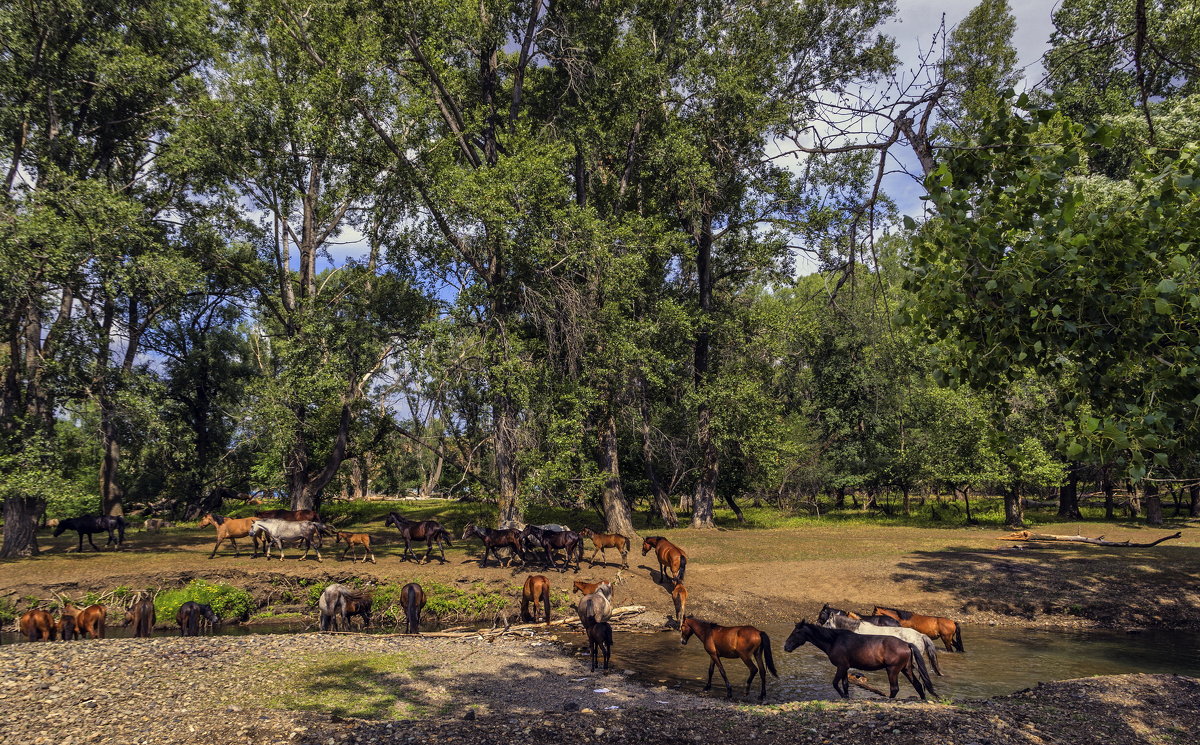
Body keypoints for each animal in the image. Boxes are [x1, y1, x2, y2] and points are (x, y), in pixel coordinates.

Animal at [782, 619, 931, 700]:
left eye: (797, 632)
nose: (786, 647)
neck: (834, 641)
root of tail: (907, 644)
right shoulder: (845, 668)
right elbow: (845, 684)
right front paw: (846, 697)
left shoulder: (841, 666)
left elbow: (835, 683)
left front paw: (843, 696)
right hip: (906, 669)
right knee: (918, 686)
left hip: (893, 670)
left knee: (894, 689)